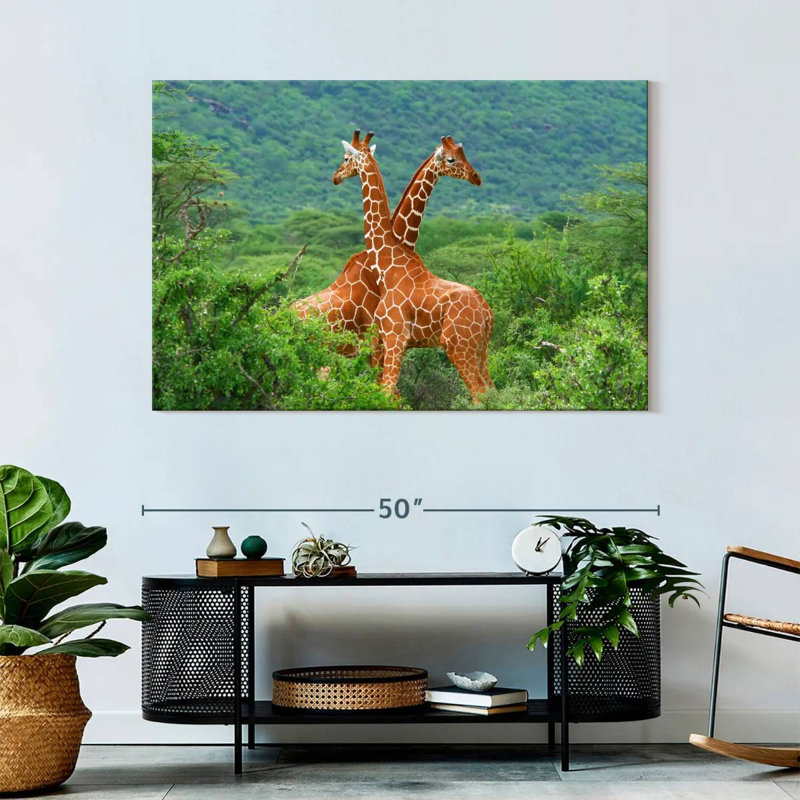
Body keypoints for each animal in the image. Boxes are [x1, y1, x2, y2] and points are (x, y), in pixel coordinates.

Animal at [332, 131, 494, 401]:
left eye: (346, 157)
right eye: (452, 158)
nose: (336, 176)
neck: (388, 263)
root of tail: (487, 312)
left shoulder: (394, 336)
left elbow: (387, 393)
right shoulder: (387, 341)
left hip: (459, 346)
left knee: (480, 394)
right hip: (480, 350)